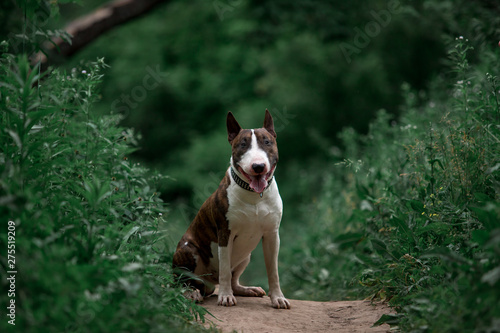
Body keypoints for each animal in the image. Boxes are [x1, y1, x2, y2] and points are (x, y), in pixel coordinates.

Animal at [173, 109, 292, 308]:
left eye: (267, 142)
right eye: (242, 145)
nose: (258, 166)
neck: (255, 196)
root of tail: (208, 283)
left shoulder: (272, 235)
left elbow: (273, 270)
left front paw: (278, 298)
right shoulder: (224, 234)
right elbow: (225, 270)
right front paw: (225, 297)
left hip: (246, 256)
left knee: (233, 279)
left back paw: (247, 289)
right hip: (188, 250)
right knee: (183, 281)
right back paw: (192, 293)